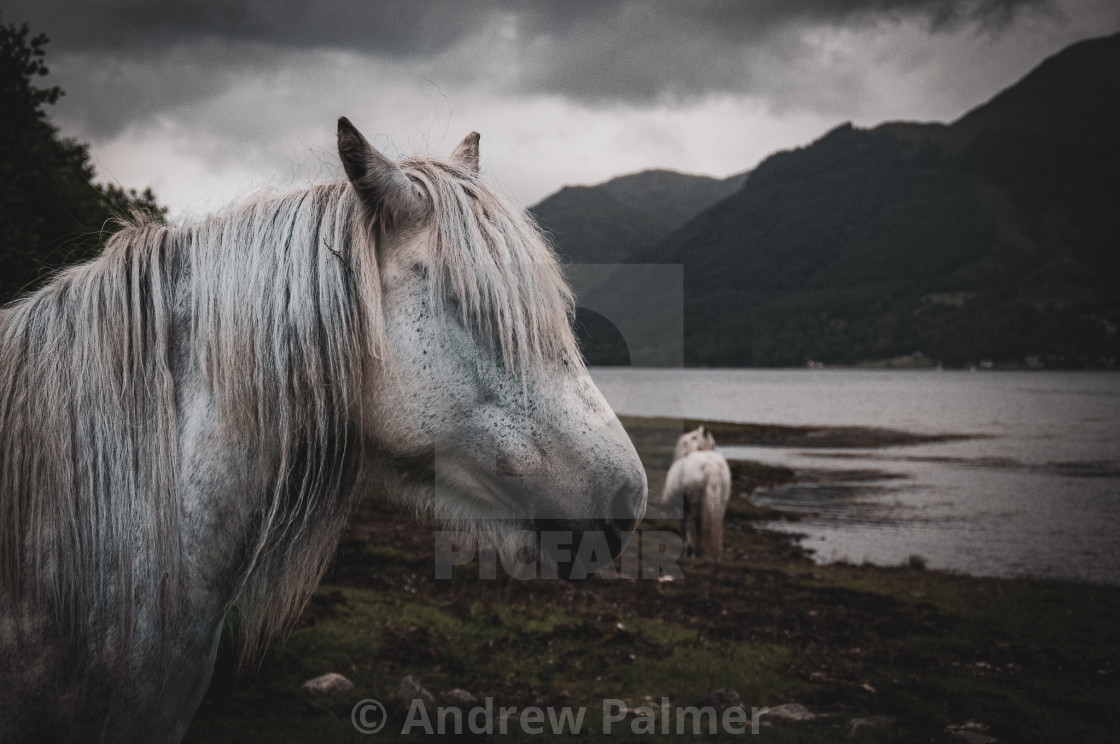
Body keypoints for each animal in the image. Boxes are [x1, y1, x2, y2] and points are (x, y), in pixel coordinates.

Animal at [658, 428, 730, 560]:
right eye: (713, 443)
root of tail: (710, 469)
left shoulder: (682, 507)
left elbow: (684, 524)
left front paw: (687, 547)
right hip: (720, 502)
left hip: (695, 503)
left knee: (697, 524)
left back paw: (697, 550)